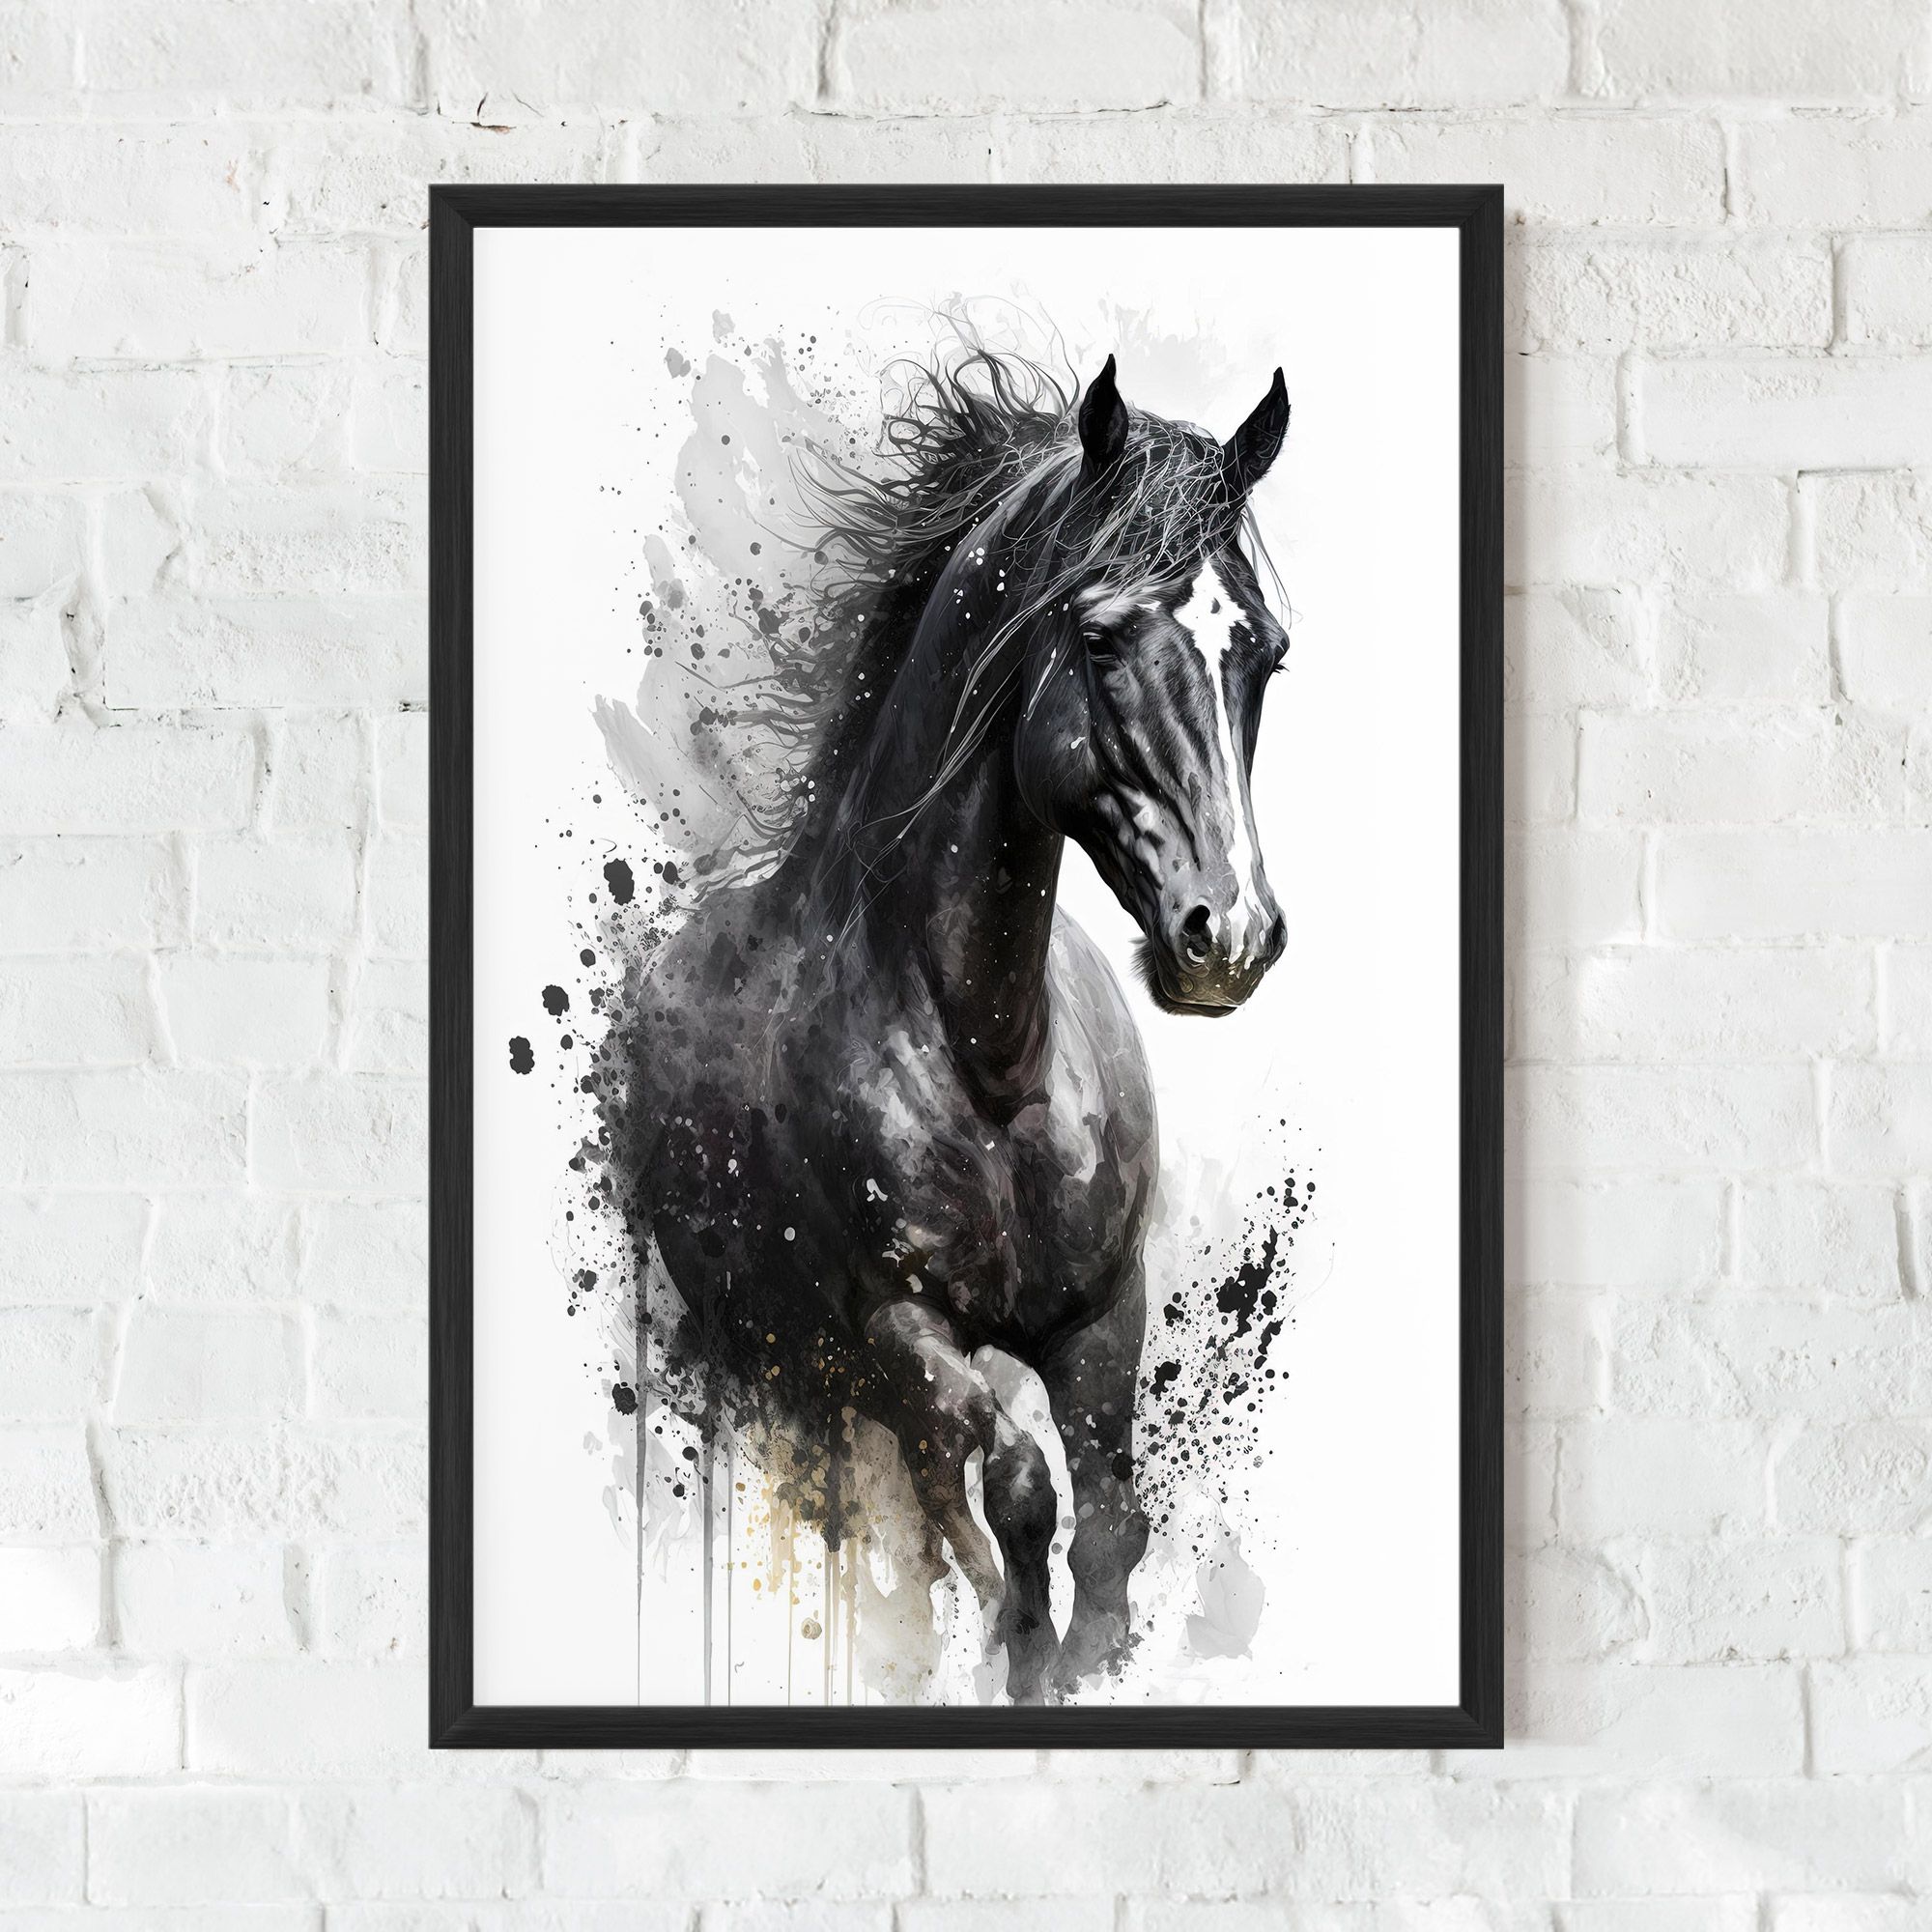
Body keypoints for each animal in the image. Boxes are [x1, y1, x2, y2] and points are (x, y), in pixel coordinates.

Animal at [611, 347, 1293, 1703]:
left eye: (1267, 653)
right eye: (1097, 634)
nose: (1228, 934)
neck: (990, 1058)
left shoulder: (1102, 1319)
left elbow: (1111, 1526)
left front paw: (1083, 1658)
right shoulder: (899, 1329)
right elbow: (1023, 1490)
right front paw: (1022, 1660)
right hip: (778, 1357)